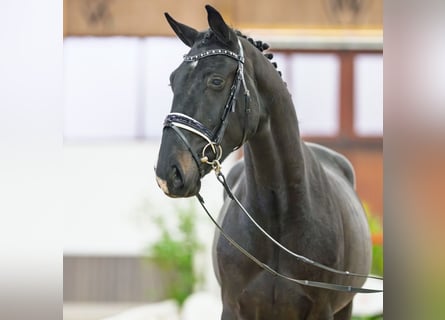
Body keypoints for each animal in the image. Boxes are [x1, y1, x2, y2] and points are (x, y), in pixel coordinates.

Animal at [156, 5, 372, 320]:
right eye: (173, 80)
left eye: (216, 81)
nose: (169, 173)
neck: (278, 218)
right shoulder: (233, 307)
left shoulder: (321, 310)